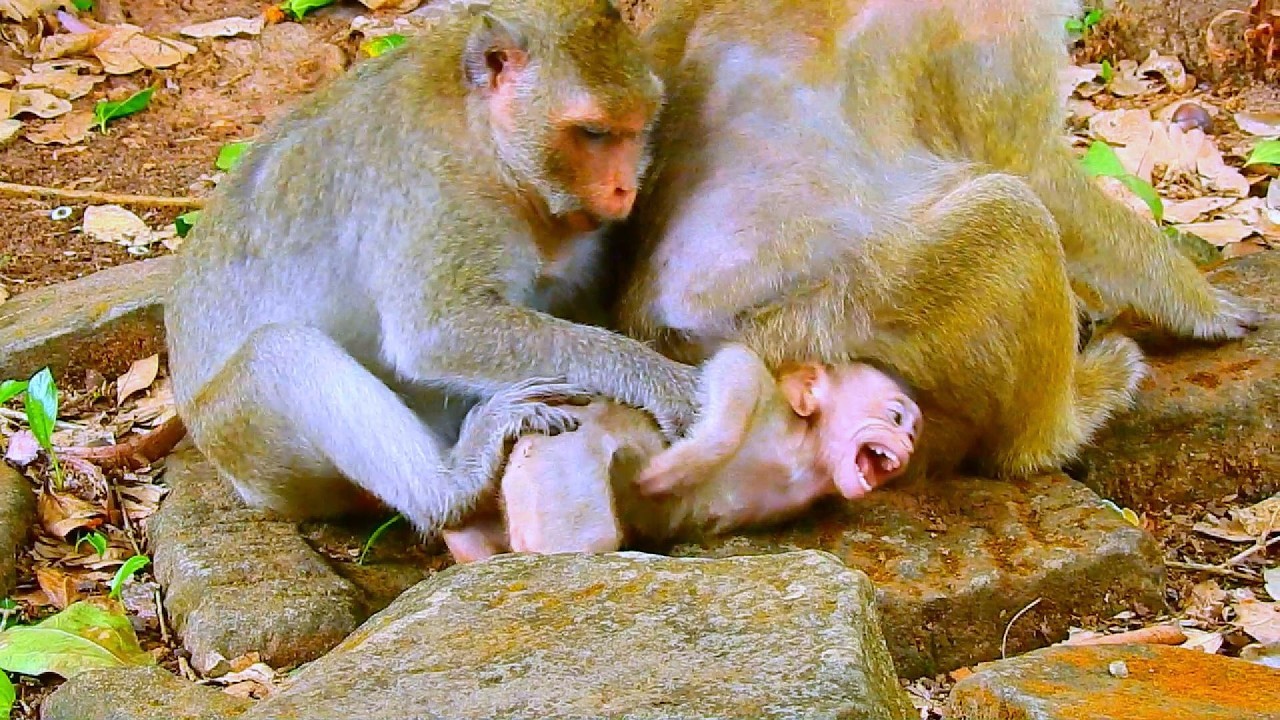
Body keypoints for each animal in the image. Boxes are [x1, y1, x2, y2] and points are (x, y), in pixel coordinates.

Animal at [162, 0, 701, 539]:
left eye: (638, 129)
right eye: (593, 133)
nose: (625, 189)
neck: (483, 137)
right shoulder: (437, 196)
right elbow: (438, 331)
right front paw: (662, 380)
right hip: (250, 443)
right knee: (278, 351)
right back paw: (451, 488)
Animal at [440, 343, 921, 561]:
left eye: (912, 429)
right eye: (897, 416)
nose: (910, 442)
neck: (804, 456)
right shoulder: (765, 396)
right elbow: (736, 369)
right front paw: (666, 472)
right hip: (556, 461)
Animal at [605, 0, 1261, 482]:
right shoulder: (997, 26)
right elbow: (1036, 174)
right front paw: (1198, 302)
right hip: (826, 330)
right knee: (1011, 214)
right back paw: (1057, 431)